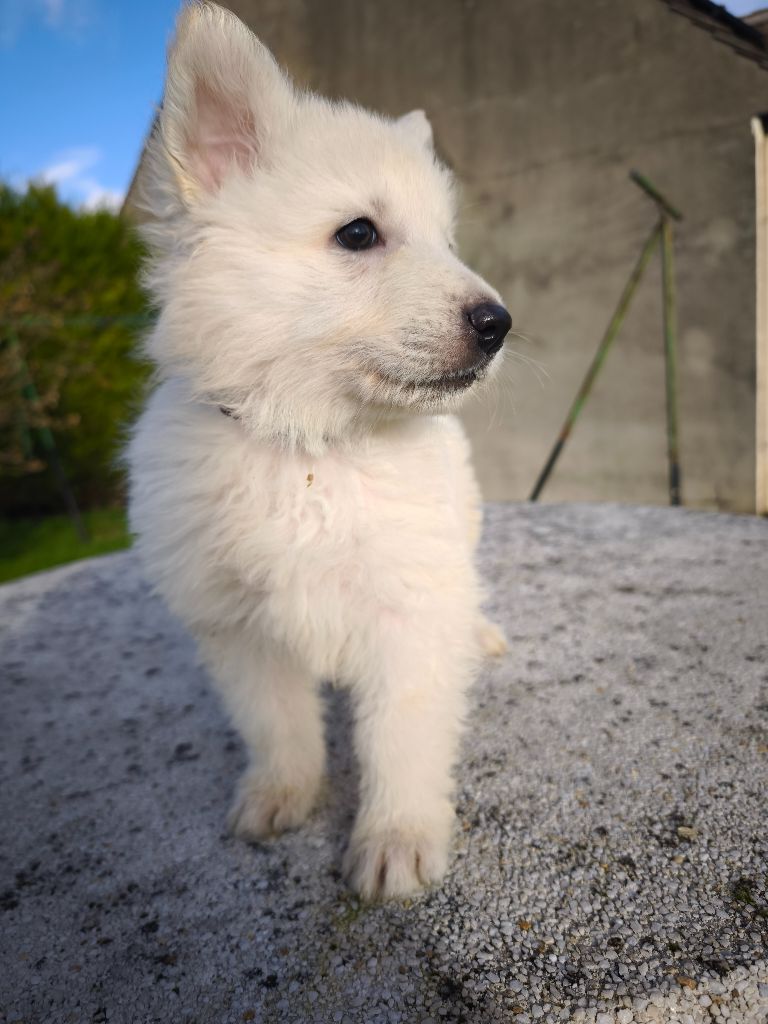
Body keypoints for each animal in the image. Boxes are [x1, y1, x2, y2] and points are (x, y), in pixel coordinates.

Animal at [130, 0, 514, 897]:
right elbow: (278, 727)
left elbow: (402, 740)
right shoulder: (239, 631)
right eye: (359, 233)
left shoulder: (411, 613)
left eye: (448, 242)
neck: (310, 447)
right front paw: (282, 796)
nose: (499, 324)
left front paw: (396, 839)